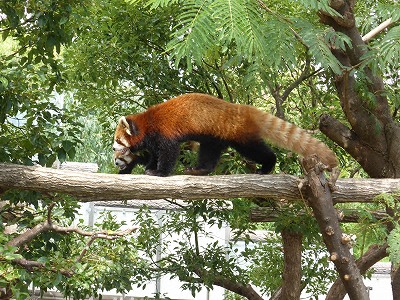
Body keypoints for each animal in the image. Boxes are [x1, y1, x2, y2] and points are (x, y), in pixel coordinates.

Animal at [112, 93, 338, 176]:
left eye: (116, 142)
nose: (114, 155)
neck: (147, 123)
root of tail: (242, 109)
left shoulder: (166, 132)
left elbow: (168, 153)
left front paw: (159, 172)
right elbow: (154, 153)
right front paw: (149, 167)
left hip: (239, 136)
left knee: (256, 150)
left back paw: (267, 166)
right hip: (214, 137)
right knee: (209, 154)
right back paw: (200, 169)